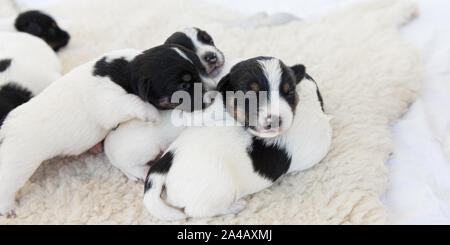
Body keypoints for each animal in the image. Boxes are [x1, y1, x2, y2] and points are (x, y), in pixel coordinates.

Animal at [0, 43, 212, 216]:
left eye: (201, 72)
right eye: (184, 84)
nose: (212, 95)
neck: (127, 71)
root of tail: (4, 125)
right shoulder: (109, 102)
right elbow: (131, 102)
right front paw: (150, 113)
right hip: (15, 166)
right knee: (6, 186)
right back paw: (8, 208)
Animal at [102, 27, 221, 181]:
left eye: (202, 69)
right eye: (185, 85)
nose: (215, 90)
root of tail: (107, 149)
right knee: (131, 168)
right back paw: (144, 171)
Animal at [144, 57, 334, 220]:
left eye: (289, 92)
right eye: (250, 95)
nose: (274, 120)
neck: (312, 101)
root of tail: (166, 162)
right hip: (216, 191)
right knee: (195, 211)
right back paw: (235, 206)